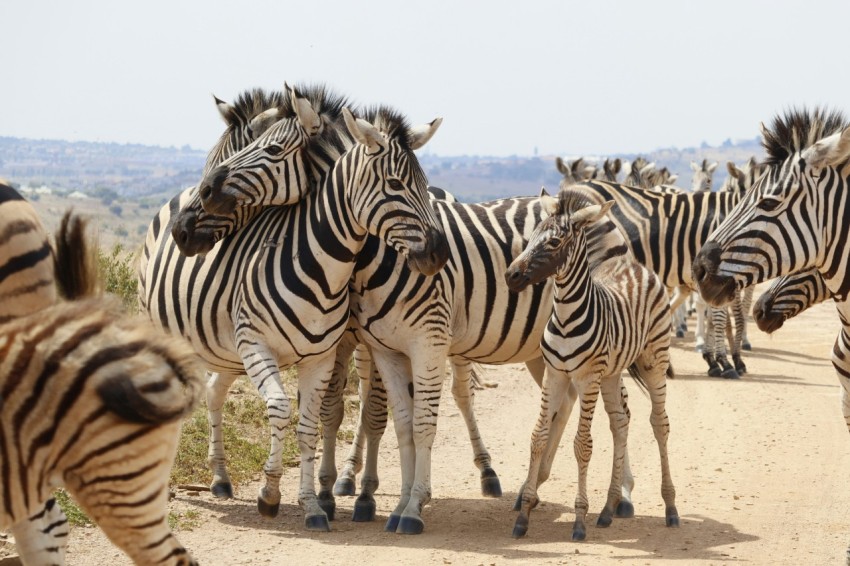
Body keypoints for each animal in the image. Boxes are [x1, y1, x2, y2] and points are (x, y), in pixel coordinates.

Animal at [504, 192, 676, 544]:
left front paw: (579, 520)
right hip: (610, 373)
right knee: (620, 422)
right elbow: (539, 436)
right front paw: (523, 515)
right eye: (531, 237)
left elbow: (582, 445)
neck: (566, 317)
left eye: (554, 242)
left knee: (659, 424)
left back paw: (670, 508)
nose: (510, 275)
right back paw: (609, 509)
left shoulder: (586, 378)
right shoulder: (555, 374)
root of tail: (635, 265)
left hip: (654, 360)